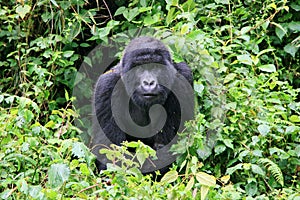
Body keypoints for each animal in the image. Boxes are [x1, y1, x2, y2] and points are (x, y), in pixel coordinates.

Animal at [89, 36, 193, 173]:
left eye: (154, 67)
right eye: (139, 68)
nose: (149, 83)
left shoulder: (183, 79)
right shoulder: (106, 86)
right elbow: (110, 152)